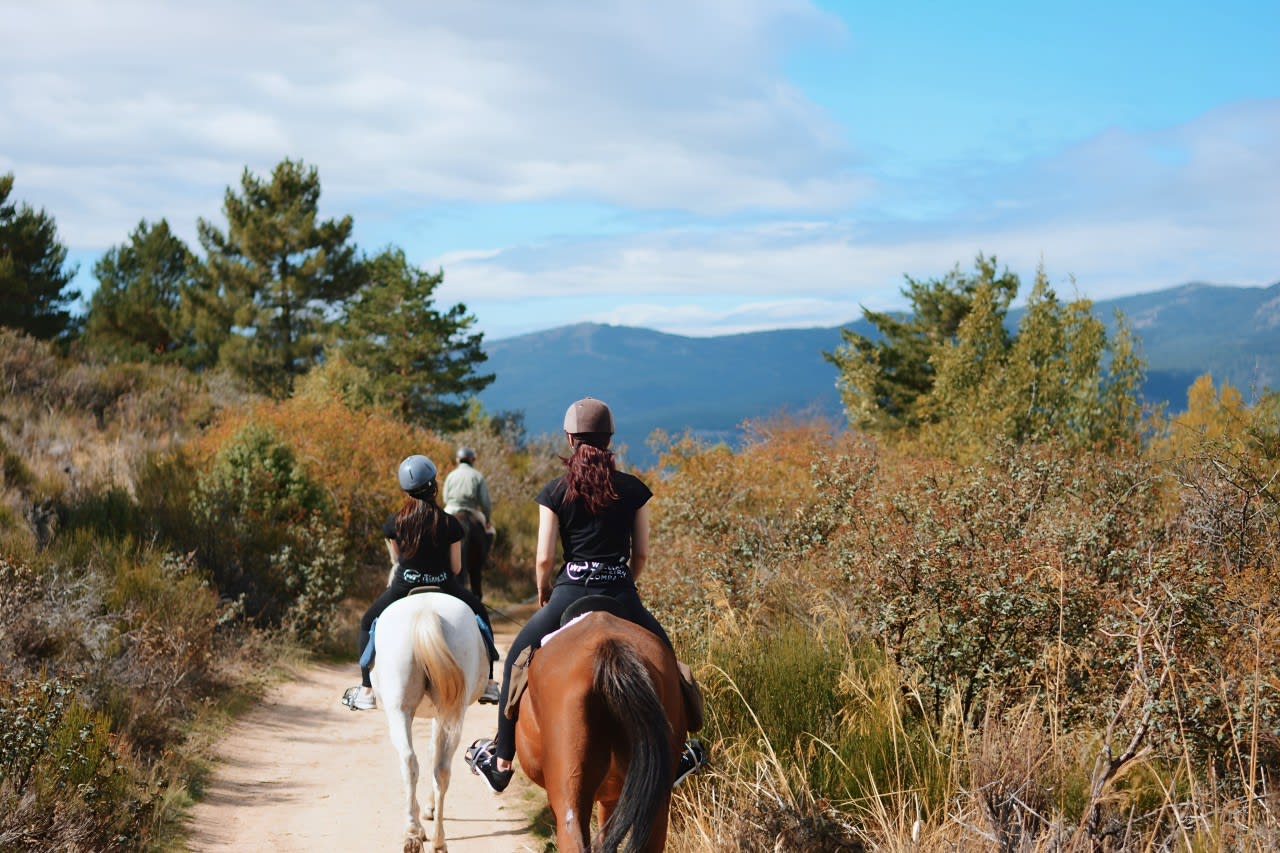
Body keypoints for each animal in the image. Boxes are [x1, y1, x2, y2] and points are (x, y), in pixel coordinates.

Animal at [373, 591, 491, 850]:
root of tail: (426, 612)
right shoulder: (441, 712)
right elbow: (432, 754)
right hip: (448, 710)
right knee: (439, 768)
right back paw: (432, 838)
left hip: (403, 710)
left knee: (412, 762)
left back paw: (417, 832)